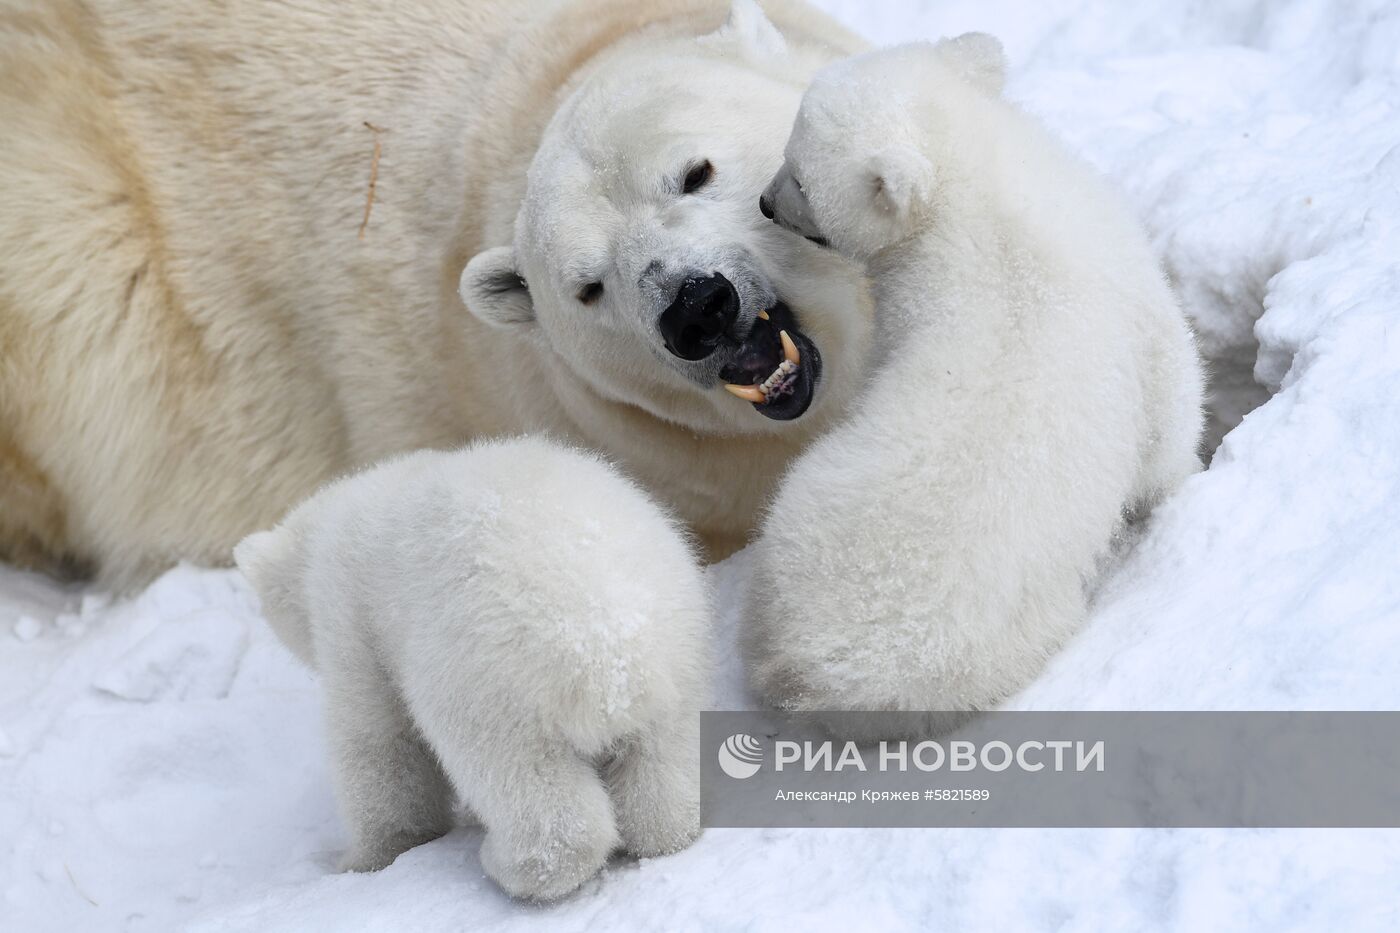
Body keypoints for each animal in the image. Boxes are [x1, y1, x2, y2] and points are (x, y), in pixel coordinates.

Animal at [235, 439, 711, 896]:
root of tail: (609, 654)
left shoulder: (352, 619)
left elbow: (379, 742)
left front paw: (367, 857)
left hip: (488, 684)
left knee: (524, 783)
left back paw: (512, 867)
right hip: (679, 654)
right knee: (663, 760)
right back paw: (667, 833)